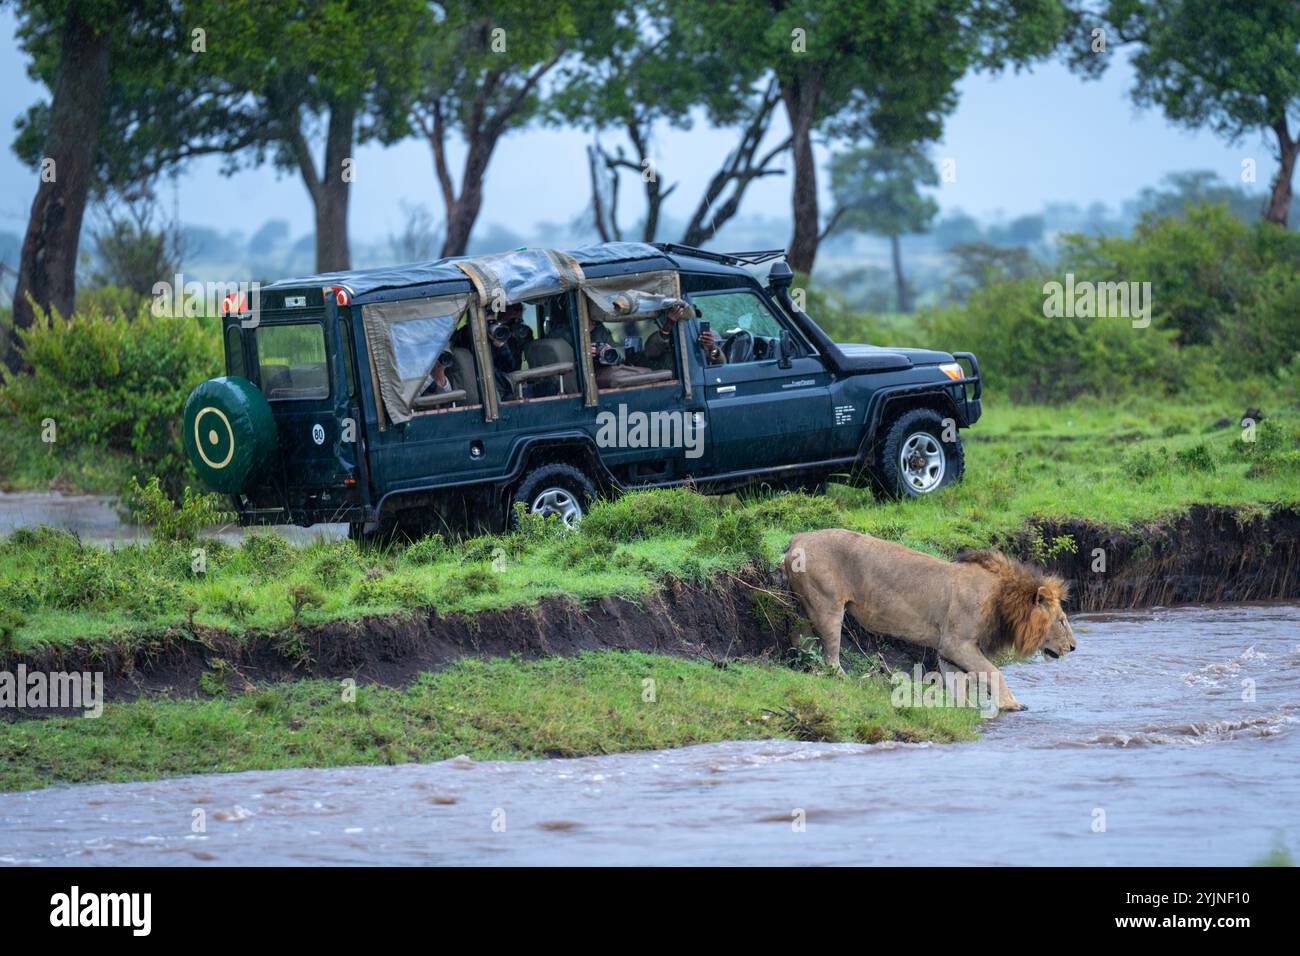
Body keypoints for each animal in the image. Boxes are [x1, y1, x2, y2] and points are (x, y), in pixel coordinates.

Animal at [780, 530, 1076, 712]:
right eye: (1062, 621)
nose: (1074, 647)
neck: (1003, 599)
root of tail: (797, 537)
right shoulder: (957, 643)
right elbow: (994, 671)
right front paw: (1011, 704)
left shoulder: (948, 649)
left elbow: (956, 681)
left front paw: (965, 708)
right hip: (828, 606)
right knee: (830, 657)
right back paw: (847, 680)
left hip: (805, 606)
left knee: (801, 638)